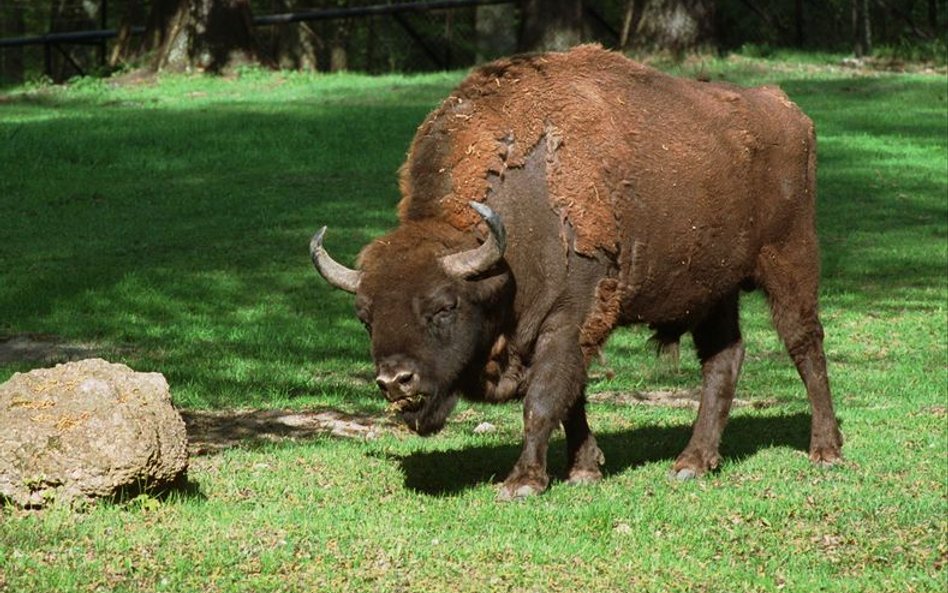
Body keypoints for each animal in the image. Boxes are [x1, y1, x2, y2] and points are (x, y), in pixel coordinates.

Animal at [312, 46, 844, 498]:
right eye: (365, 316)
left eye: (444, 307)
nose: (394, 381)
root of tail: (787, 109)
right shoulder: (574, 333)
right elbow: (574, 400)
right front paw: (585, 469)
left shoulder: (567, 322)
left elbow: (544, 400)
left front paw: (523, 482)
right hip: (713, 289)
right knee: (723, 360)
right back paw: (692, 462)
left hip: (791, 260)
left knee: (804, 343)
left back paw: (825, 450)